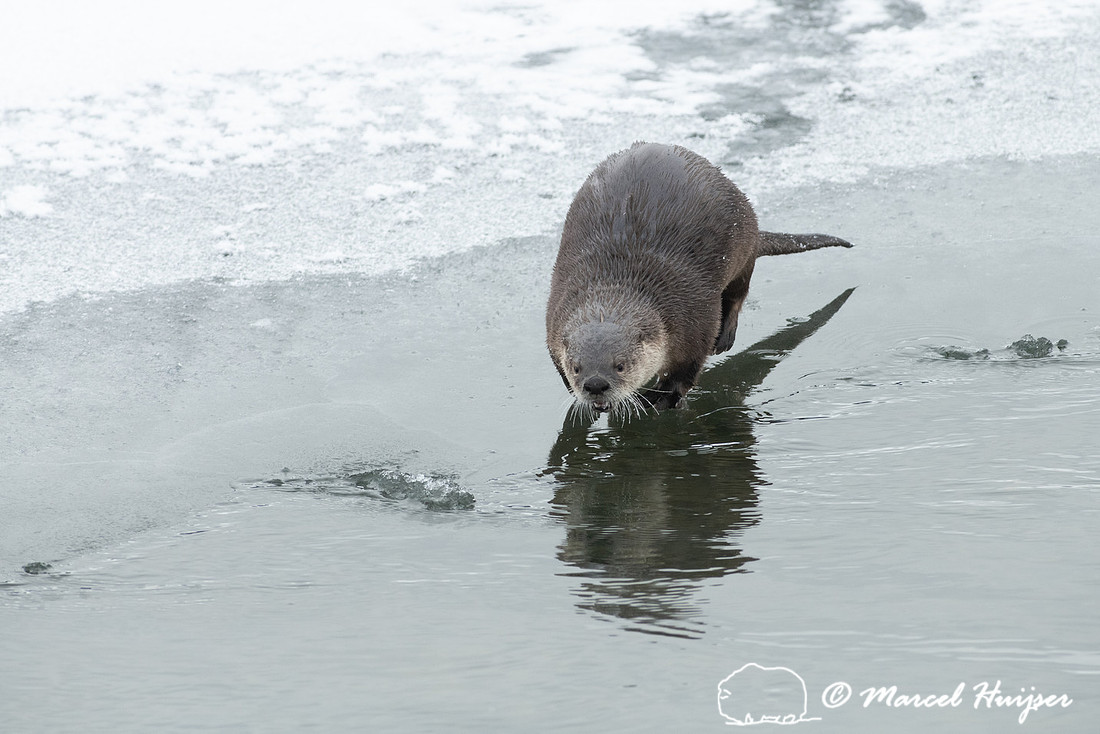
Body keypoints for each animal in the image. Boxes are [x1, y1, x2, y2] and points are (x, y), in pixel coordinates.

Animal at [546, 142, 851, 416]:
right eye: (577, 368)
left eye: (620, 365)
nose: (596, 385)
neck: (619, 278)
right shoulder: (554, 317)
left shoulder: (692, 317)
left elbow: (688, 368)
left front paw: (663, 397)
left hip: (743, 245)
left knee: (738, 293)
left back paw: (725, 338)